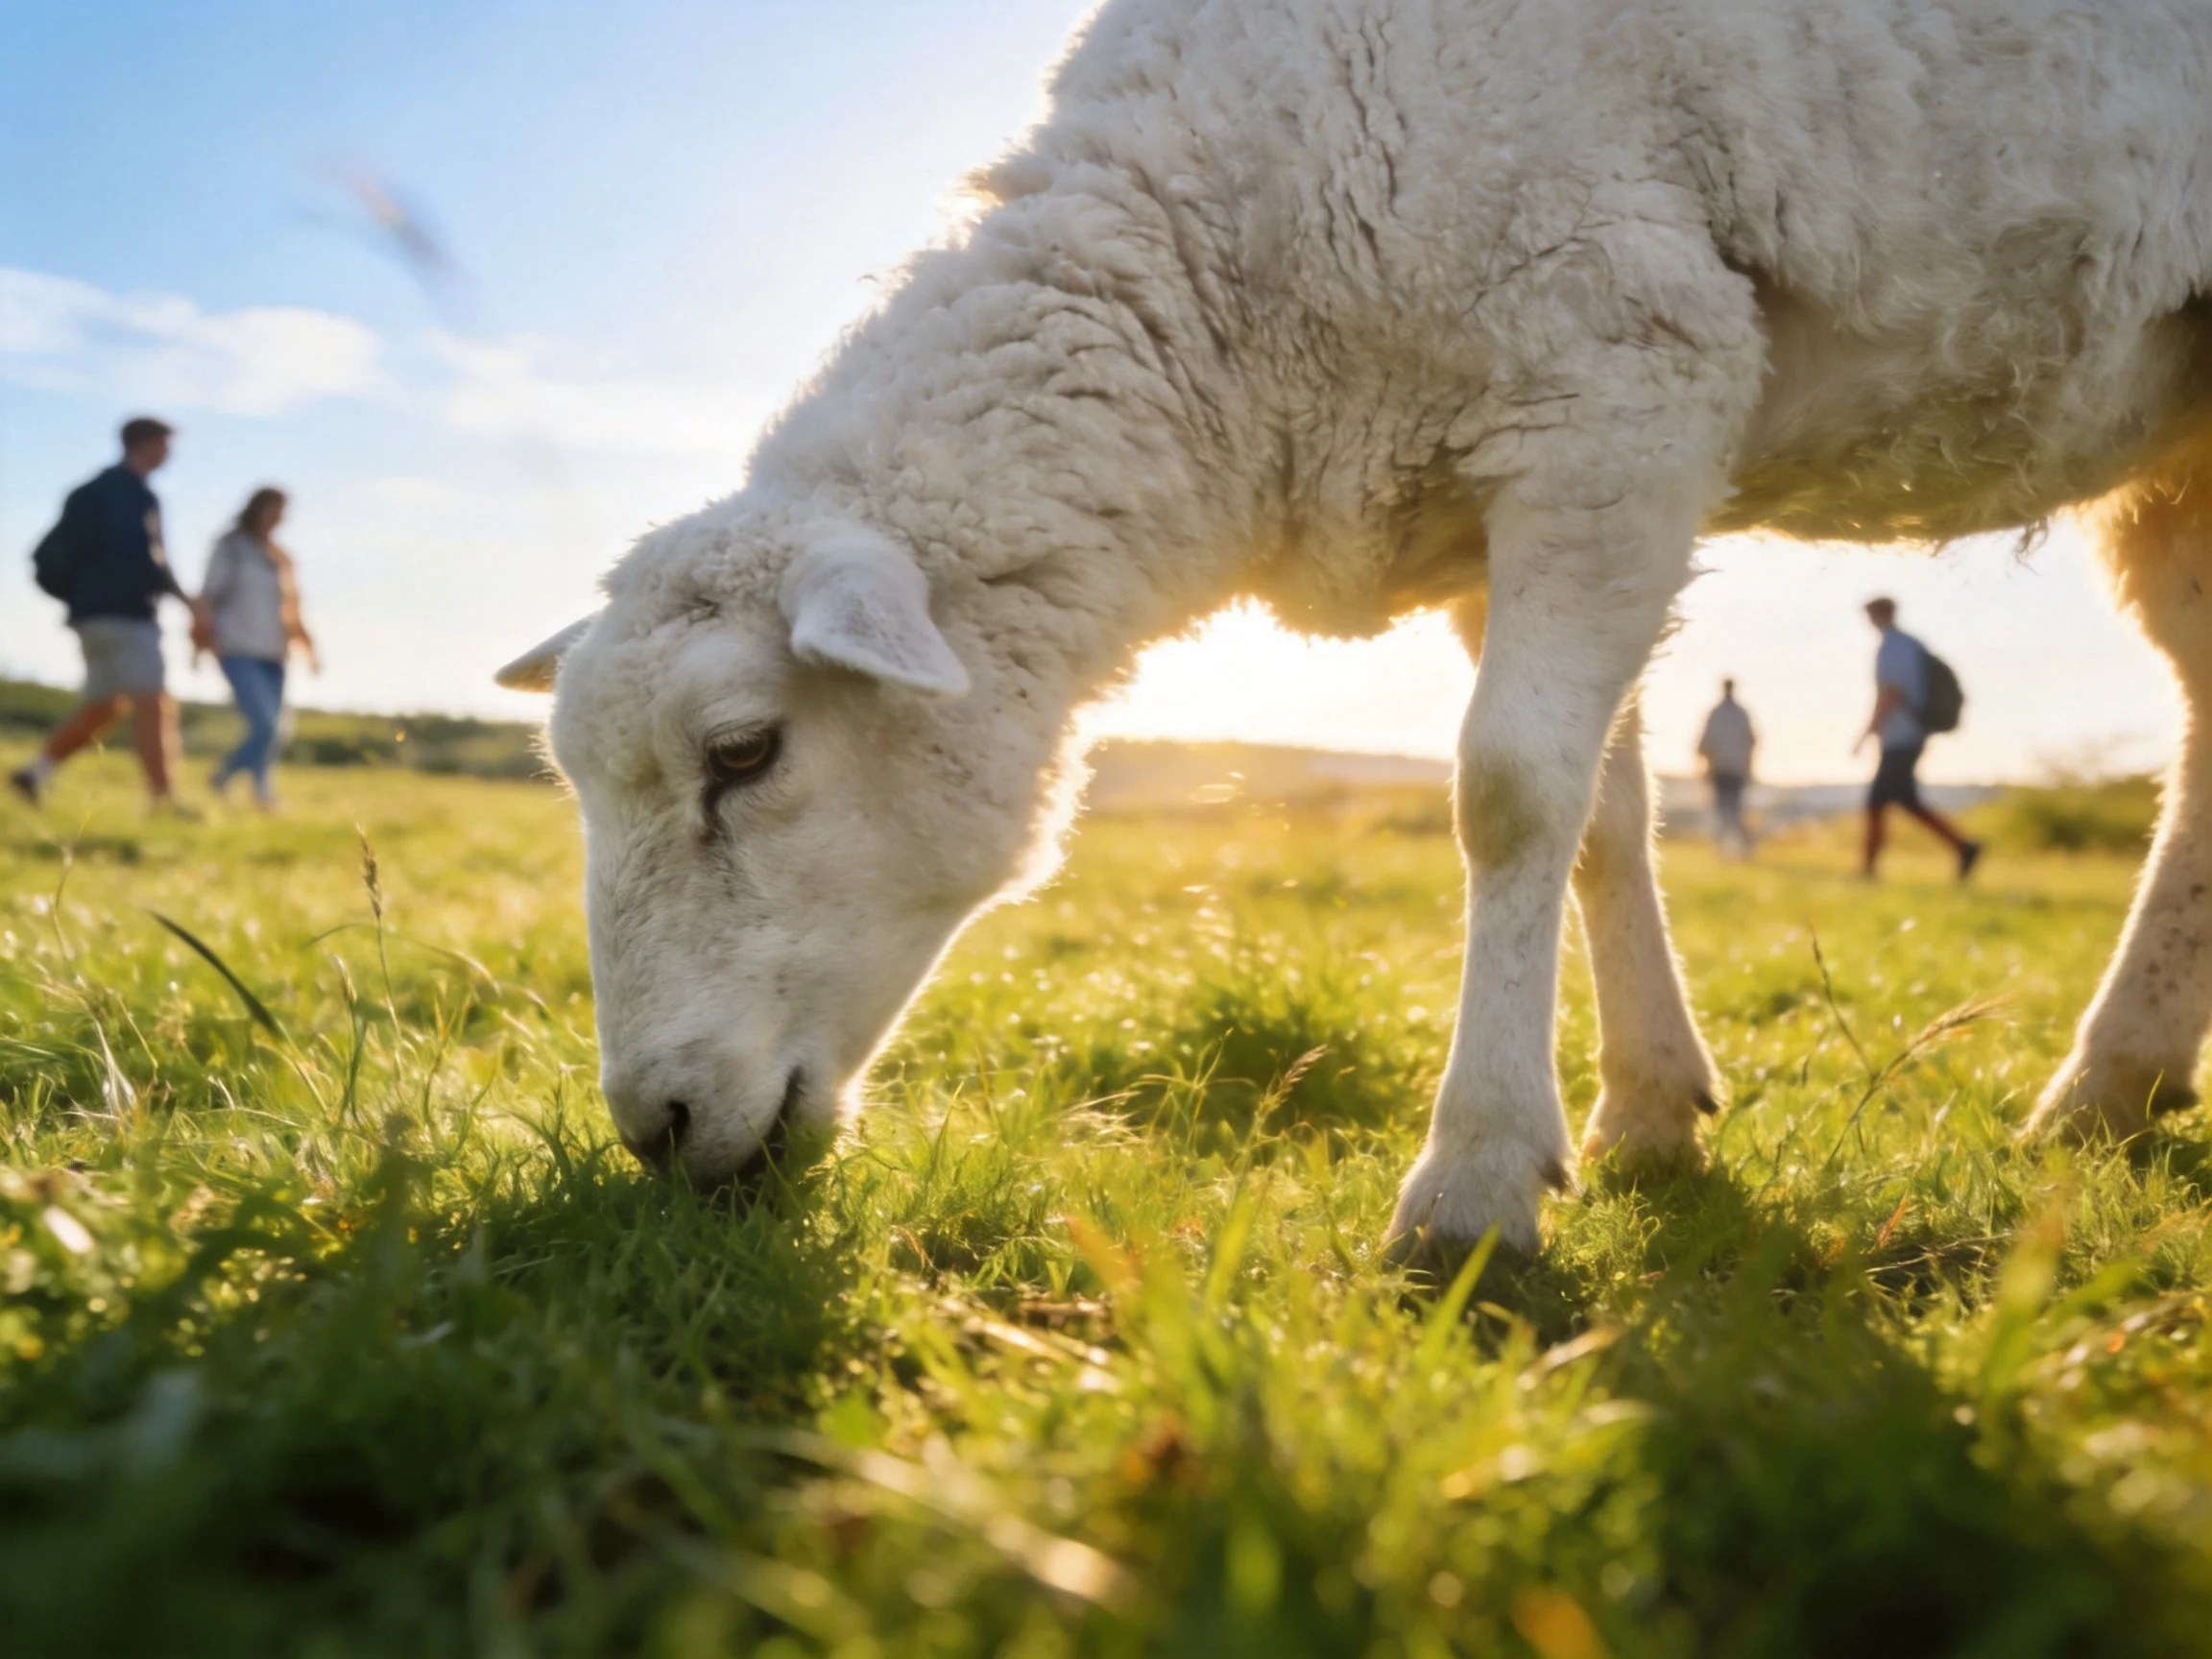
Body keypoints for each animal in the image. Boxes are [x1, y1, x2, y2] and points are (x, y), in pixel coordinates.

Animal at [501, 0, 2212, 1262]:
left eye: (744, 752)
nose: (652, 1129)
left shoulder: (1620, 386)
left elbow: (1509, 793)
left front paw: (1475, 1189)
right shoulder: (1490, 491)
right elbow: (1602, 816)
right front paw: (1647, 1115)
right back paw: (2117, 1089)